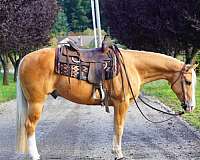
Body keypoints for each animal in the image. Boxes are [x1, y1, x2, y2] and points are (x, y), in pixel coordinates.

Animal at [16, 47, 197, 160]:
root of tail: (25, 58)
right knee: (30, 126)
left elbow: (116, 127)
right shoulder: (122, 104)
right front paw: (118, 153)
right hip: (36, 102)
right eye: (188, 82)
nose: (191, 107)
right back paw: (35, 155)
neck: (132, 66)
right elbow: (119, 128)